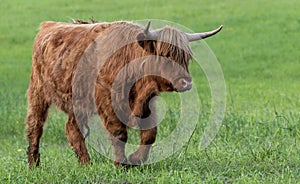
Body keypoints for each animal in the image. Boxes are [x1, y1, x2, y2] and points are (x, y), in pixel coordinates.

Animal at [26, 19, 223, 167]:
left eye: (186, 57)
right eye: (165, 54)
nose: (186, 83)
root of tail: (48, 26)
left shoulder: (147, 101)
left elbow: (150, 134)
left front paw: (135, 159)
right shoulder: (108, 101)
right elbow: (119, 133)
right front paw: (121, 164)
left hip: (79, 102)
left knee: (72, 128)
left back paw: (86, 163)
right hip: (37, 92)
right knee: (35, 126)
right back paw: (34, 164)